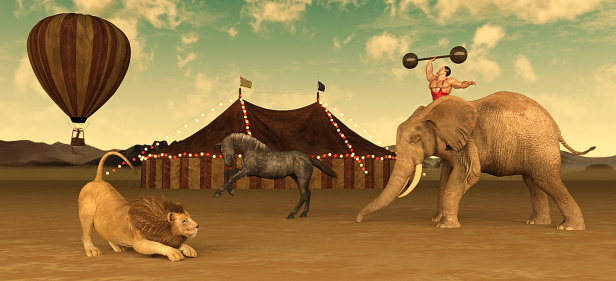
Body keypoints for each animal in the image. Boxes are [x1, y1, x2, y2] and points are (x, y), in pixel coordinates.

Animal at [358, 92, 596, 230]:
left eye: (415, 138)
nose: (358, 221)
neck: (433, 112)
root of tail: (556, 127)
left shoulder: (468, 142)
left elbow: (468, 175)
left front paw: (445, 227)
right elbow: (446, 178)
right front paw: (437, 220)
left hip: (540, 147)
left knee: (546, 180)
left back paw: (568, 228)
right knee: (533, 182)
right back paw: (535, 223)